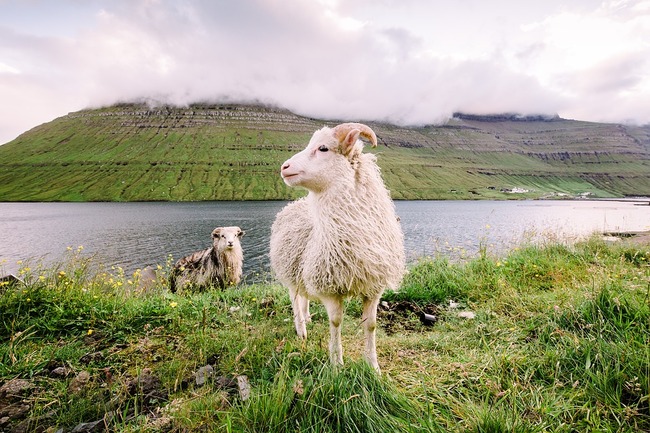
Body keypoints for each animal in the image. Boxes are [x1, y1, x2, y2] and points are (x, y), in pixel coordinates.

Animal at [268, 122, 400, 372]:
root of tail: (293, 205)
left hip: (302, 270)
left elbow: (371, 325)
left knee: (303, 299)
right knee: (295, 300)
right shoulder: (330, 287)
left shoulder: (373, 286)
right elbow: (336, 322)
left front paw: (373, 367)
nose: (284, 167)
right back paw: (301, 329)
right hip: (291, 273)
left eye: (323, 148)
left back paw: (307, 318)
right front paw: (337, 364)